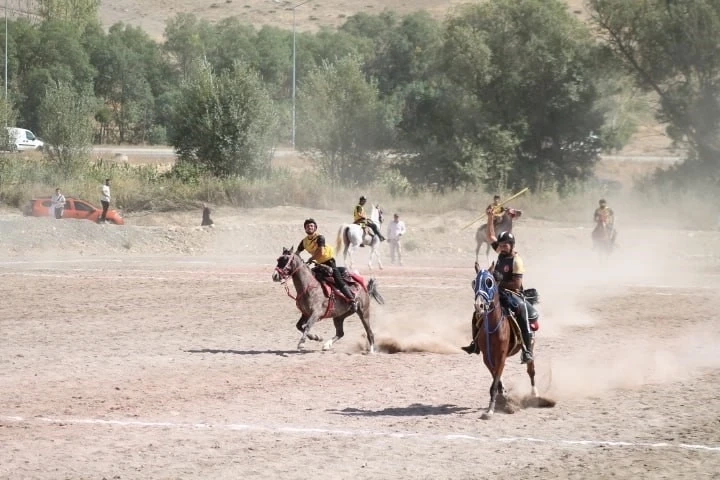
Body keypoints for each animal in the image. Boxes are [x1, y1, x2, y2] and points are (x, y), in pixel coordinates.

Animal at [470, 264, 536, 418]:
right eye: (474, 282)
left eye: (489, 282)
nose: (479, 305)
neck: (493, 326)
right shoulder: (487, 357)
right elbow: (496, 376)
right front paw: (502, 396)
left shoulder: (501, 356)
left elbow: (495, 380)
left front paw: (490, 410)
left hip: (530, 346)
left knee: (531, 370)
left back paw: (535, 394)